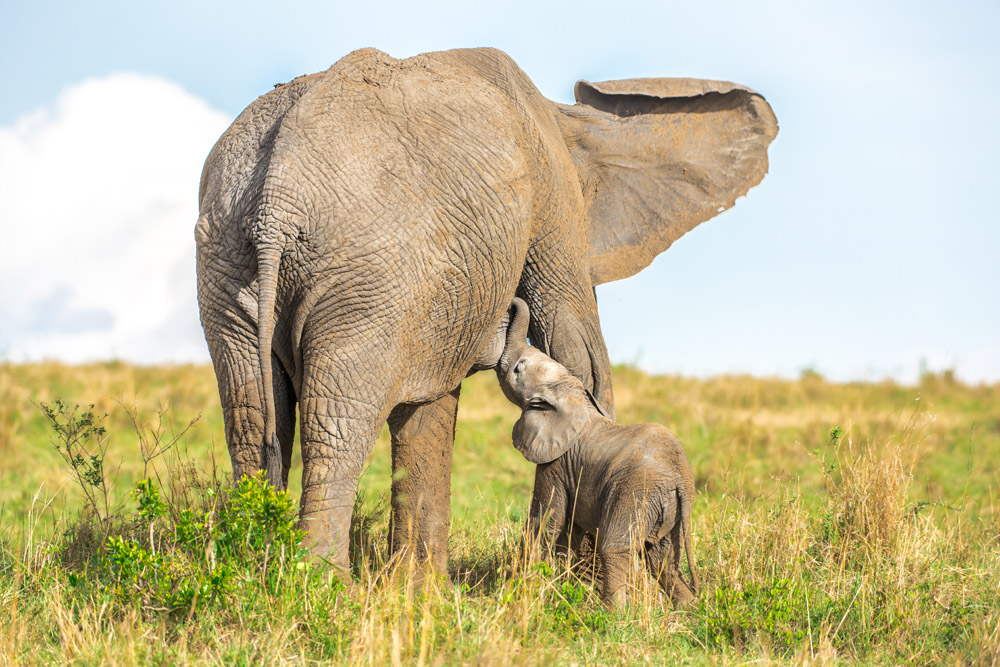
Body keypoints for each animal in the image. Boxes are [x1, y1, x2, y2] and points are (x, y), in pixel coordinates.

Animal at [193, 45, 772, 576]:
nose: (506, 311)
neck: (564, 117)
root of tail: (276, 202)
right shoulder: (551, 198)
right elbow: (577, 347)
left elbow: (429, 404)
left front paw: (419, 593)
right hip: (363, 273)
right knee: (335, 423)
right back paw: (321, 585)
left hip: (229, 260)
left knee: (251, 417)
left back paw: (252, 569)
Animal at [496, 300, 700, 608]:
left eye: (518, 369)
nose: (511, 302)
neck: (572, 396)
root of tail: (681, 480)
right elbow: (568, 531)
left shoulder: (556, 462)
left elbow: (546, 522)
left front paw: (513, 590)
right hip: (670, 509)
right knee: (662, 559)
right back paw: (688, 610)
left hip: (636, 492)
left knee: (616, 547)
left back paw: (612, 613)